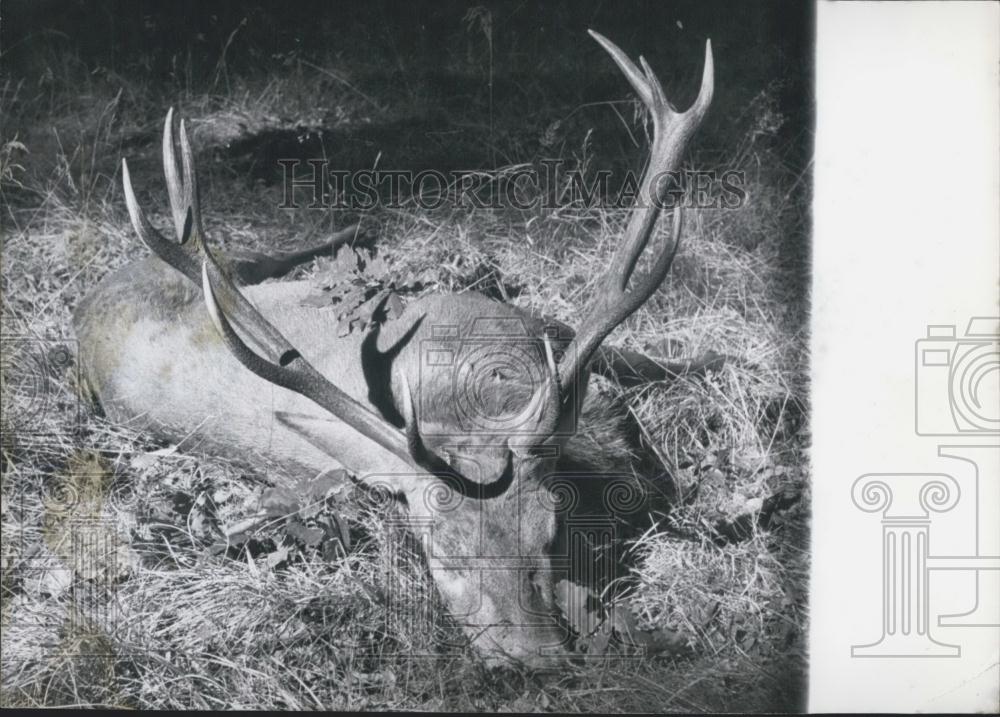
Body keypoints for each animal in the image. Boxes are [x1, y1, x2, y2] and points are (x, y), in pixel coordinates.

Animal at [72, 30, 713, 667]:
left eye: (550, 532)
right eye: (441, 556)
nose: (537, 658)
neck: (464, 392)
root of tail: (88, 304)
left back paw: (355, 227)